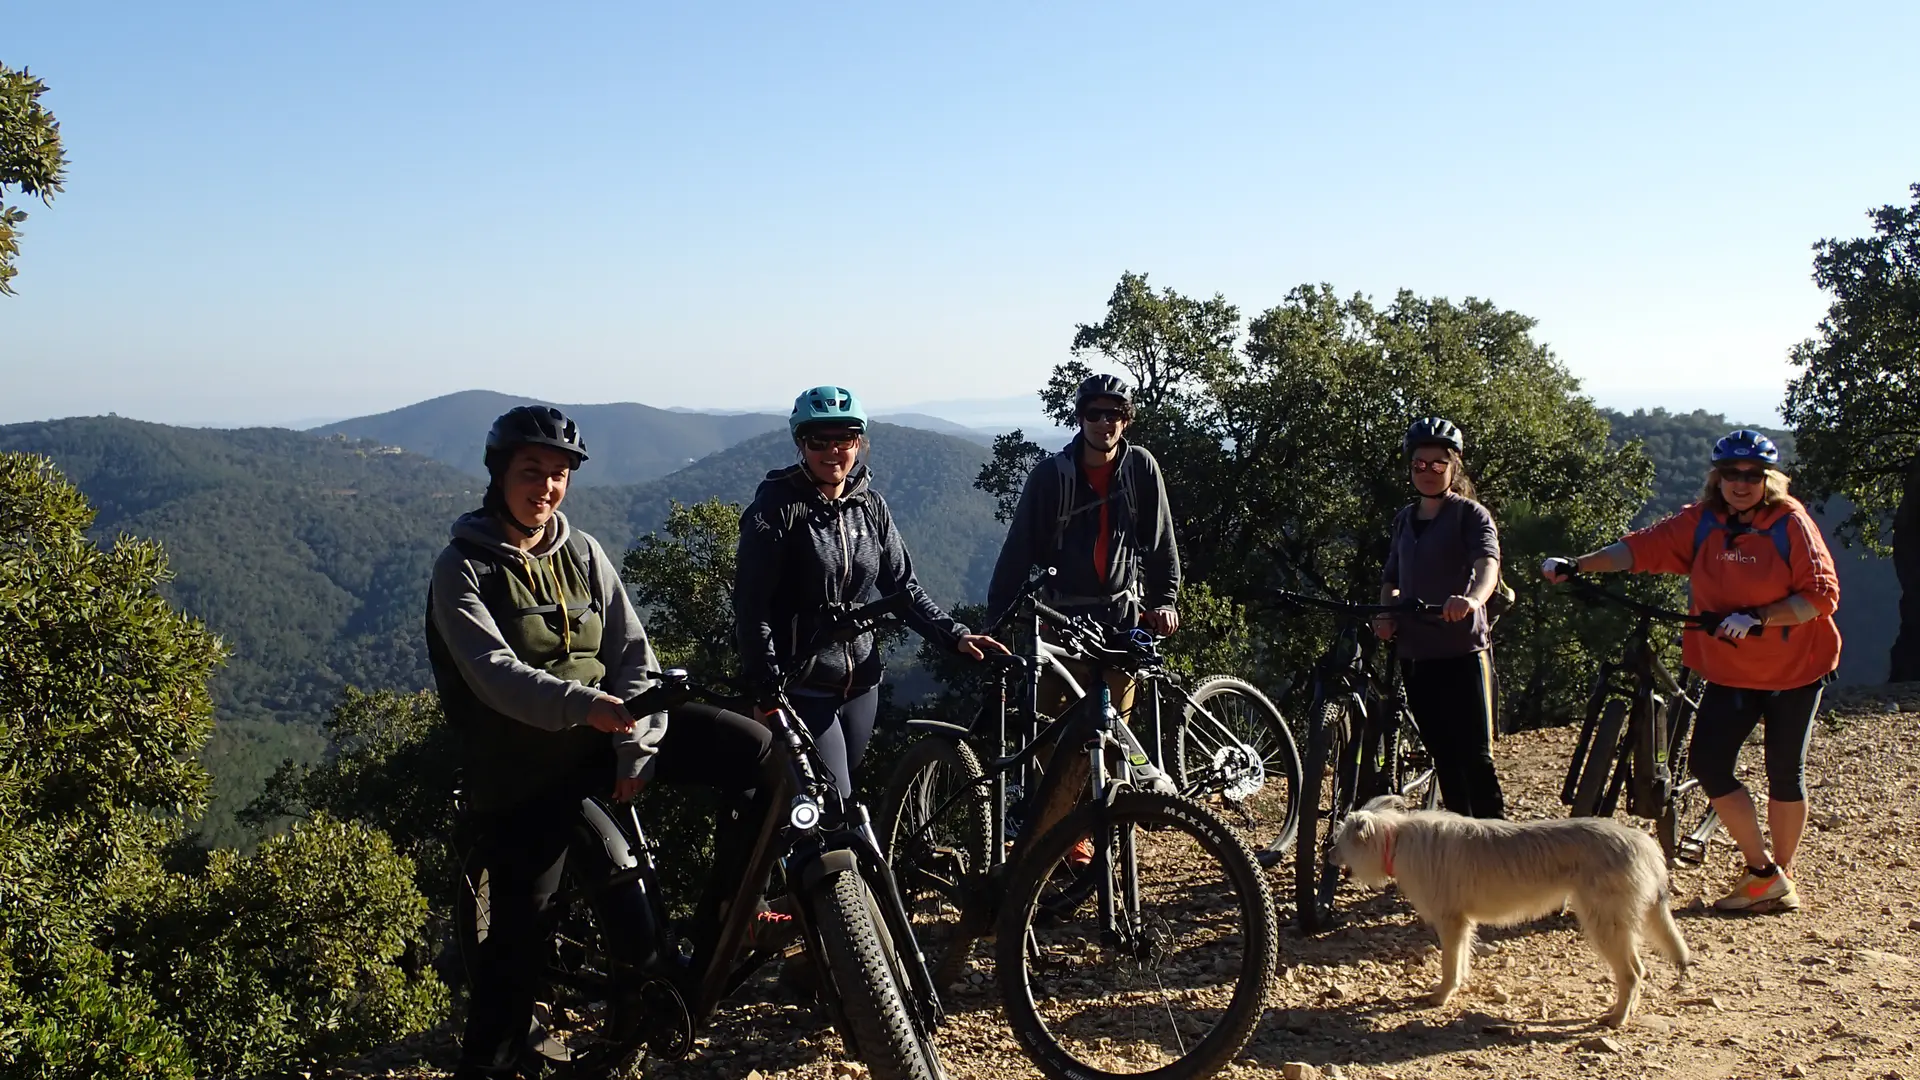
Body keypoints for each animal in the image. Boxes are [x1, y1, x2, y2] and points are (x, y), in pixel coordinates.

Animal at [1328, 795, 1689, 1022]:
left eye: (1341, 839)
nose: (1326, 855)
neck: (1397, 839)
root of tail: (1645, 844)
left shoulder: (1450, 921)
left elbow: (1448, 965)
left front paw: (1441, 996)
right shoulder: (1463, 923)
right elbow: (1460, 961)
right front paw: (1455, 987)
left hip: (1604, 925)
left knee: (1631, 974)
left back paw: (1616, 1018)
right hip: (1617, 926)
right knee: (1639, 970)